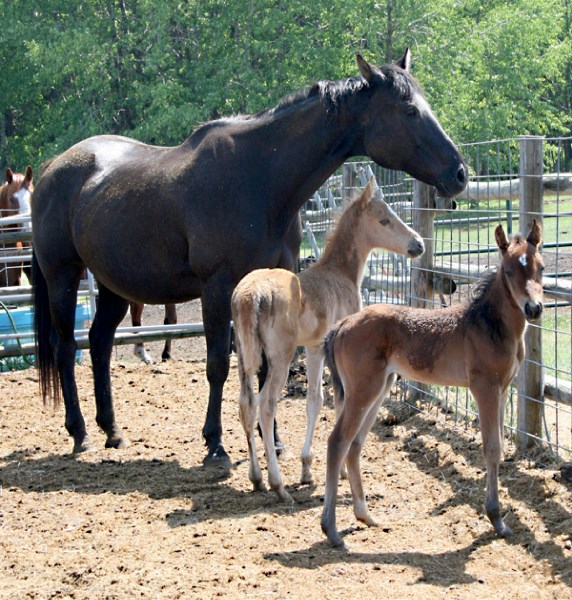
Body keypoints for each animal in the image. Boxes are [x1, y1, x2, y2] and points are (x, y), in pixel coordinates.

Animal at [322, 221, 544, 548]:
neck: (489, 325)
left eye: (541, 267)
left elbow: (501, 446)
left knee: (355, 444)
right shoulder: (484, 389)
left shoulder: (503, 390)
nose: (533, 308)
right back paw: (332, 530)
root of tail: (341, 325)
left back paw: (365, 514)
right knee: (338, 442)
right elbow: (491, 448)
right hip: (363, 389)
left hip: (379, 387)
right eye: (508, 271)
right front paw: (497, 520)